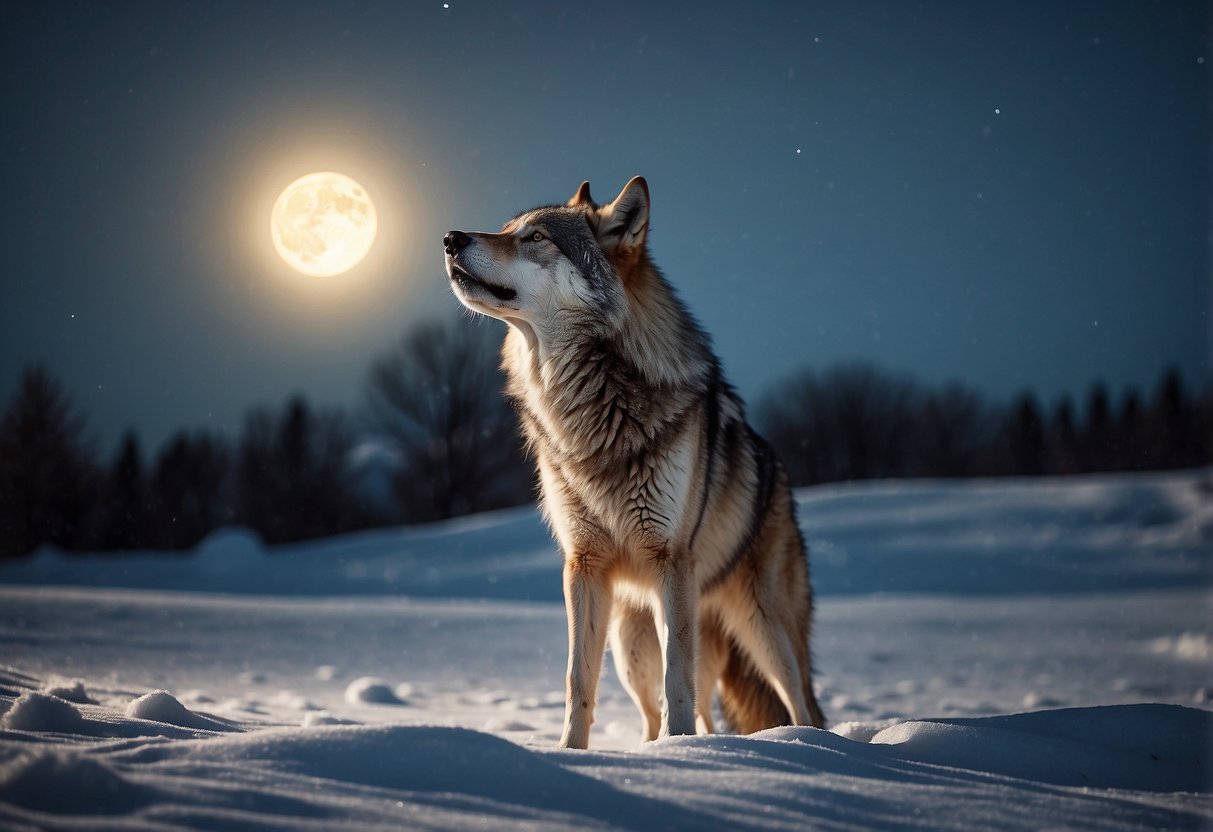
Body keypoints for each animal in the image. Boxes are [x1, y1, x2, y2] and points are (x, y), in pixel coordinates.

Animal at [441, 175, 829, 751]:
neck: (591, 408)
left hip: (761, 627)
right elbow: (577, 679)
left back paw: (804, 747)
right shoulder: (583, 566)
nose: (450, 238)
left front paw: (682, 754)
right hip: (632, 645)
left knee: (798, 701)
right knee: (666, 710)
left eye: (535, 238)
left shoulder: (671, 559)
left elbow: (679, 681)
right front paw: (570, 755)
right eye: (506, 229)